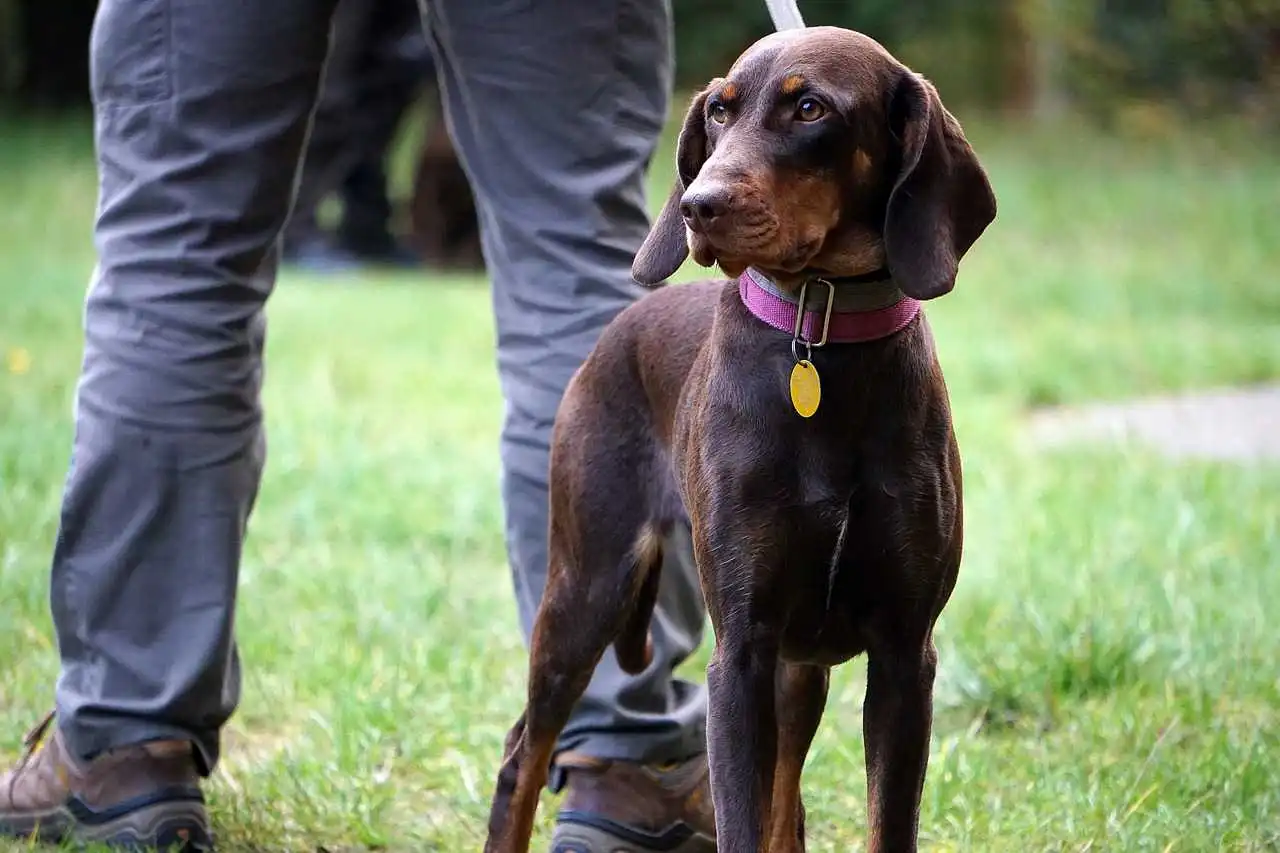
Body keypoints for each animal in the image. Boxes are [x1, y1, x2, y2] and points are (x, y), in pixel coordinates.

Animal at [483, 26, 993, 850]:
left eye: (810, 108)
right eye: (719, 111)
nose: (699, 204)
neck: (820, 336)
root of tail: (617, 328)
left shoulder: (903, 654)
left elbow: (881, 820)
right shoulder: (742, 651)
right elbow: (742, 819)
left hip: (797, 664)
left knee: (789, 796)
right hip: (586, 586)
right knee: (523, 750)